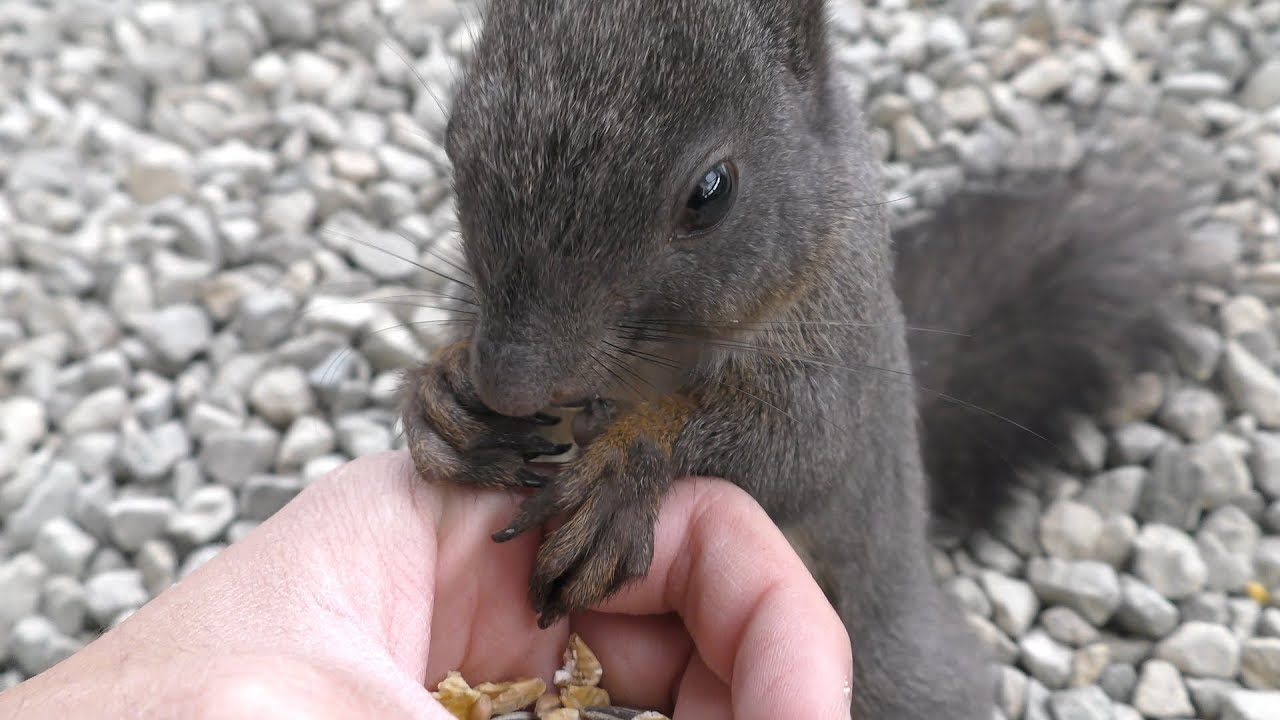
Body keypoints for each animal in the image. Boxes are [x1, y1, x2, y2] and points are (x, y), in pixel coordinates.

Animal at [398, 1, 1183, 717]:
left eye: (711, 192)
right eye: (454, 137)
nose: (508, 383)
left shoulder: (835, 346)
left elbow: (797, 448)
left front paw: (625, 465)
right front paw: (439, 399)